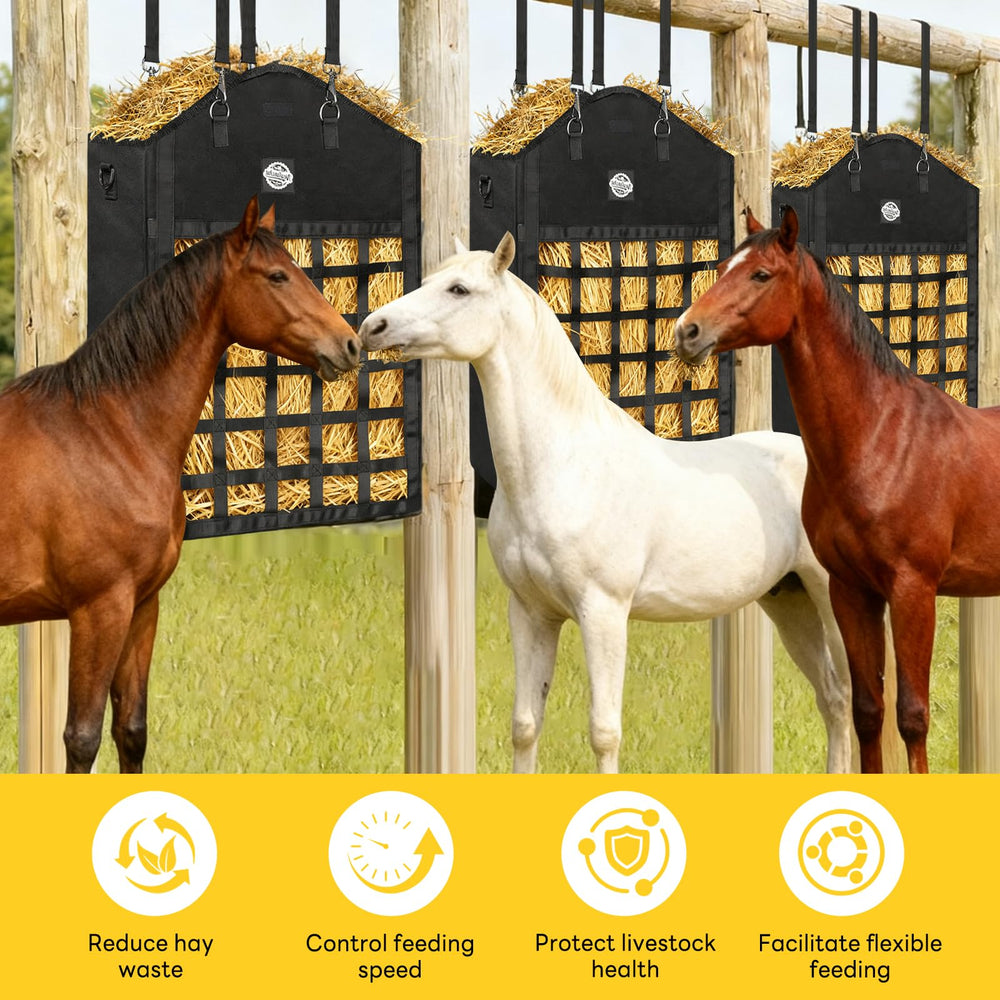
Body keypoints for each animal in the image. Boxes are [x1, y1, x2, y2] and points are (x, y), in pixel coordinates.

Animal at [1, 196, 361, 773]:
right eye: (278, 275)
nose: (349, 344)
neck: (108, 431)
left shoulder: (142, 606)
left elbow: (131, 731)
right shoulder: (98, 610)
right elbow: (82, 739)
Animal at [359, 233, 853, 774]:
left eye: (459, 289)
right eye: (430, 280)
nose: (372, 327)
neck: (564, 466)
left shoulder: (604, 612)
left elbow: (604, 732)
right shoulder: (530, 612)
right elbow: (525, 725)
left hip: (830, 599)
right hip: (790, 602)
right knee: (834, 698)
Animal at [673, 205, 993, 773]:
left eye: (761, 274)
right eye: (723, 265)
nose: (687, 331)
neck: (882, 438)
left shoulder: (914, 591)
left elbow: (912, 716)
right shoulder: (850, 590)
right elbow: (868, 710)